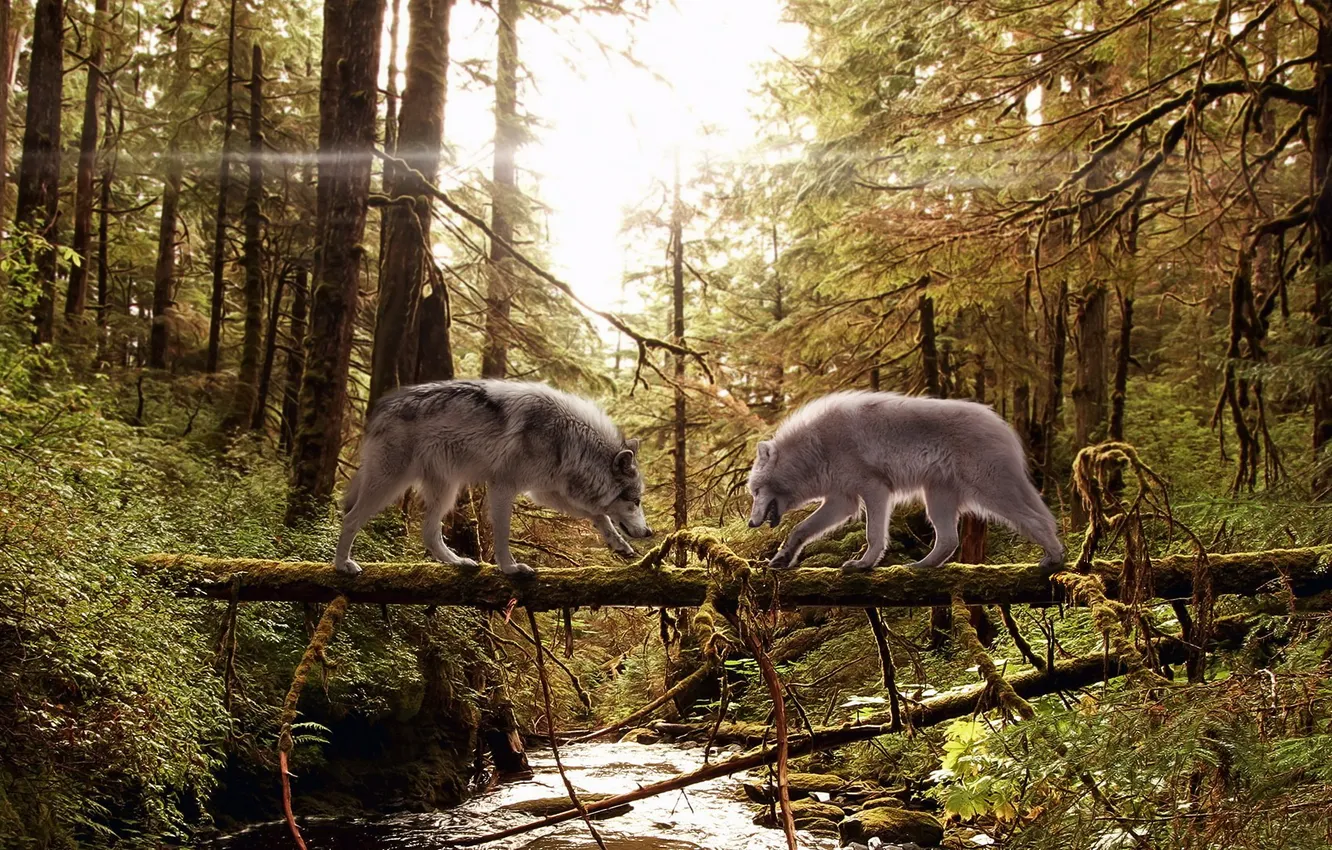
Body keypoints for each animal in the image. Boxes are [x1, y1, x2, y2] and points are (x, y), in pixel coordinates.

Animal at [333, 380, 654, 576]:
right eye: (637, 501)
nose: (649, 532)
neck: (567, 438)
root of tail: (381, 408)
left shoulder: (546, 492)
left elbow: (598, 514)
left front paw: (619, 544)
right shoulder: (503, 487)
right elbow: (501, 534)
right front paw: (510, 568)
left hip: (446, 491)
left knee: (429, 533)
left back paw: (458, 561)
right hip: (388, 485)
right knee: (350, 519)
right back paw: (341, 565)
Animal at [746, 391, 1063, 571]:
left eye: (756, 491)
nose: (750, 523)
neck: (815, 448)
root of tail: (1003, 426)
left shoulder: (874, 490)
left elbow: (873, 536)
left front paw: (863, 564)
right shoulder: (842, 501)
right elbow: (799, 530)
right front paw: (783, 559)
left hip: (991, 493)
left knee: (1037, 520)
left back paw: (1055, 557)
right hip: (937, 500)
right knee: (949, 540)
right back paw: (922, 566)